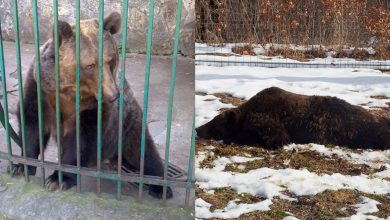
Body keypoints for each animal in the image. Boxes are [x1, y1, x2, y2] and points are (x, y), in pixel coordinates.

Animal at [11, 11, 172, 198]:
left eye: (110, 59)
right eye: (90, 65)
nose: (113, 95)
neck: (70, 91)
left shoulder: (91, 108)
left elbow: (82, 139)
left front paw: (58, 179)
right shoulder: (41, 90)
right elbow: (32, 124)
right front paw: (20, 167)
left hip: (127, 124)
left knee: (143, 152)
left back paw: (159, 186)